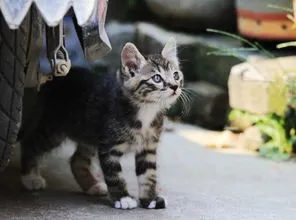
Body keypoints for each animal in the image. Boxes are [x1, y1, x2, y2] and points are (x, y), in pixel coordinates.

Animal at [19, 37, 183, 210]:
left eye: (176, 75)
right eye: (157, 78)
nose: (175, 86)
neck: (146, 110)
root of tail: (53, 78)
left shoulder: (148, 147)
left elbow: (148, 175)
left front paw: (150, 199)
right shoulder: (109, 147)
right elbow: (114, 174)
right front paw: (123, 198)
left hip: (88, 133)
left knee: (77, 160)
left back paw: (92, 185)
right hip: (53, 131)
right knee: (30, 142)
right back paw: (30, 177)